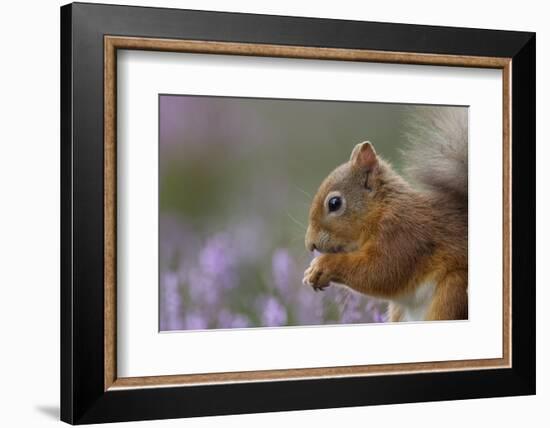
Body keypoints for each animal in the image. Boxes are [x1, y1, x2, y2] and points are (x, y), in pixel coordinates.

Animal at [304, 108, 468, 320]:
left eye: (334, 203)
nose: (310, 244)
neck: (382, 210)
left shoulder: (404, 234)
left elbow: (382, 271)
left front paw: (323, 265)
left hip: (453, 291)